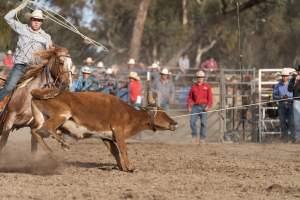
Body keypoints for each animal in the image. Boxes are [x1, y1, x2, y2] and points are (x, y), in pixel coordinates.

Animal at [31, 89, 176, 172]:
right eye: (162, 112)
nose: (175, 123)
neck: (130, 114)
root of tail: (37, 92)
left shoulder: (106, 136)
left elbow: (115, 151)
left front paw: (122, 167)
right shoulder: (118, 130)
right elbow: (123, 149)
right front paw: (130, 167)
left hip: (42, 119)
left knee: (36, 132)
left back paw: (52, 153)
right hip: (62, 114)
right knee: (48, 128)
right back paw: (64, 144)